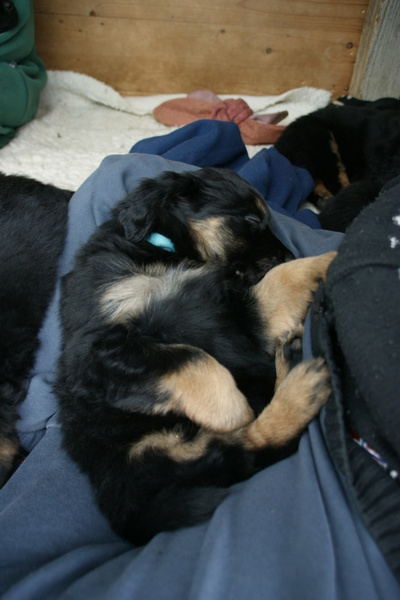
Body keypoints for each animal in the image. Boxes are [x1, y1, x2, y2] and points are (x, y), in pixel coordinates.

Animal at [55, 167, 335, 545]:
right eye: (251, 219)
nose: (289, 253)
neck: (166, 251)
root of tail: (126, 511)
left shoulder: (241, 317)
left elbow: (285, 279)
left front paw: (333, 257)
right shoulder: (94, 350)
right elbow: (192, 360)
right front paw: (232, 410)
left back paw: (289, 363)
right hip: (156, 455)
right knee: (243, 449)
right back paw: (300, 387)